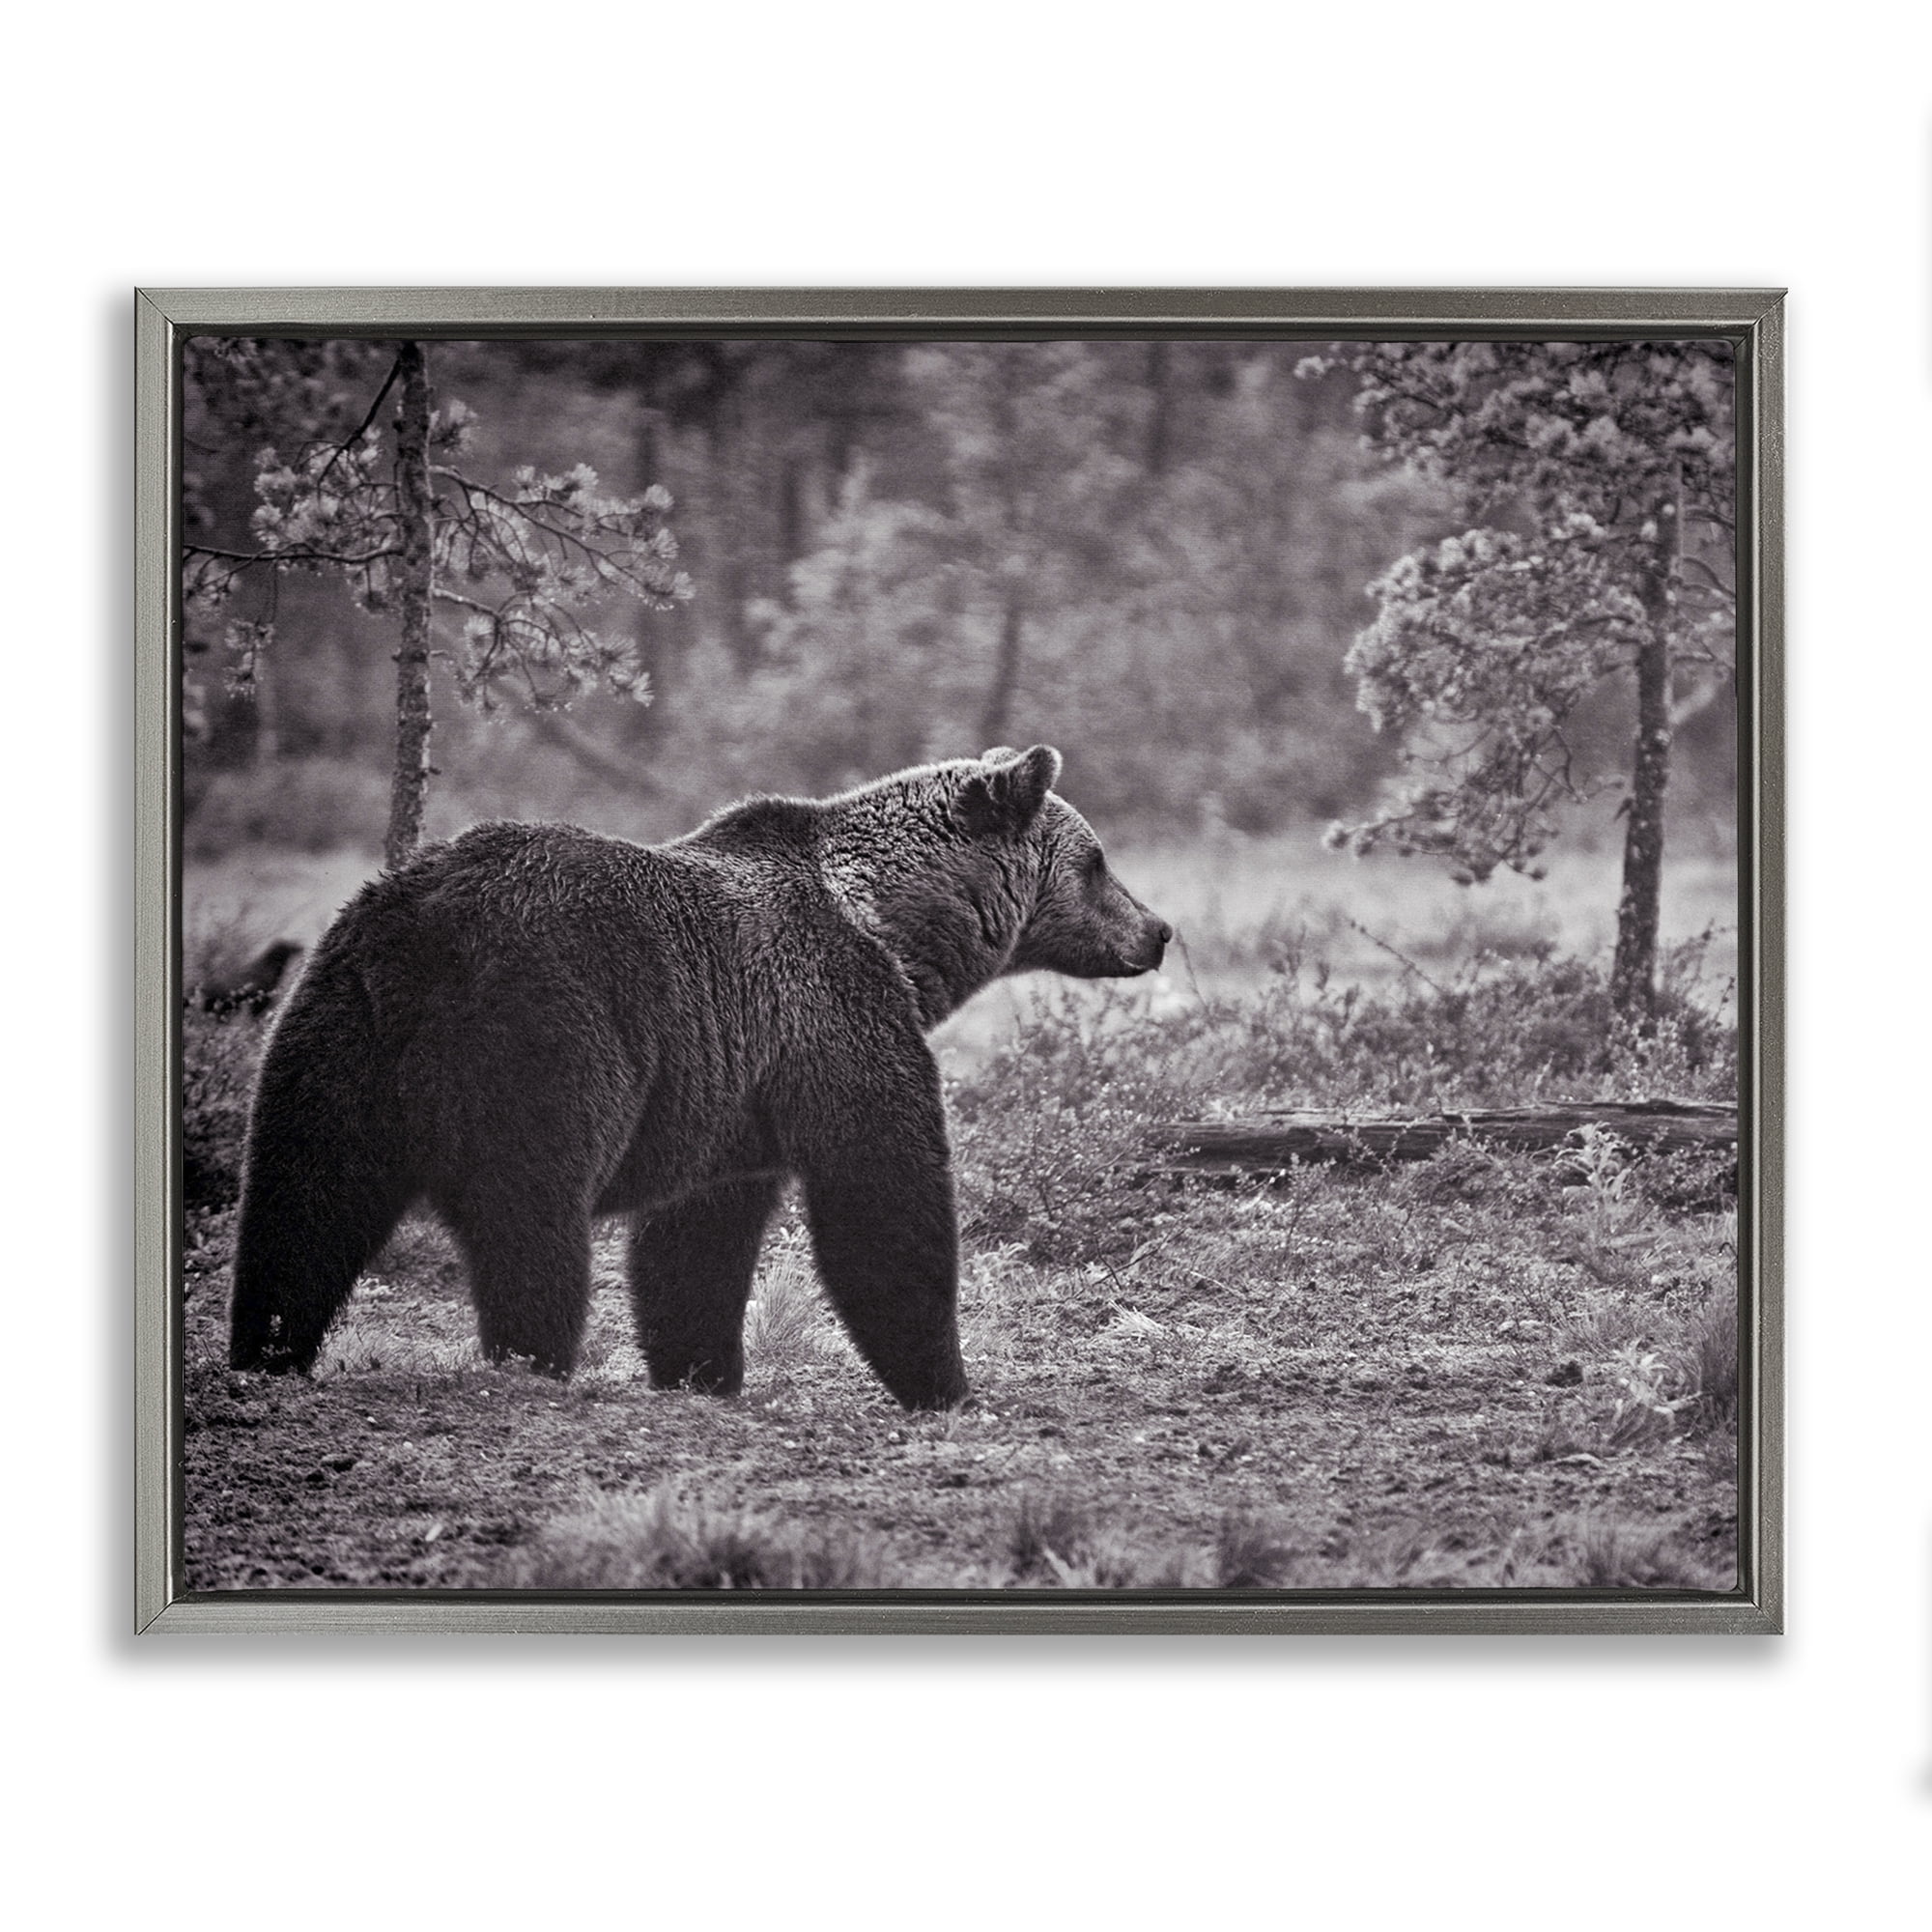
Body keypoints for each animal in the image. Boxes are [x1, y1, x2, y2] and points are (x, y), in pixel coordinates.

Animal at [227, 745, 1171, 1409]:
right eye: (1096, 861)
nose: (1158, 930)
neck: (893, 929)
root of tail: (419, 929)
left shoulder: (730, 1088)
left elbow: (696, 1239)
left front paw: (700, 1368)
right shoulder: (833, 1017)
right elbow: (883, 1194)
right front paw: (943, 1381)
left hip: (333, 1030)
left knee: (301, 1202)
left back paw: (267, 1349)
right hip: (544, 1030)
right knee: (530, 1214)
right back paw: (532, 1358)